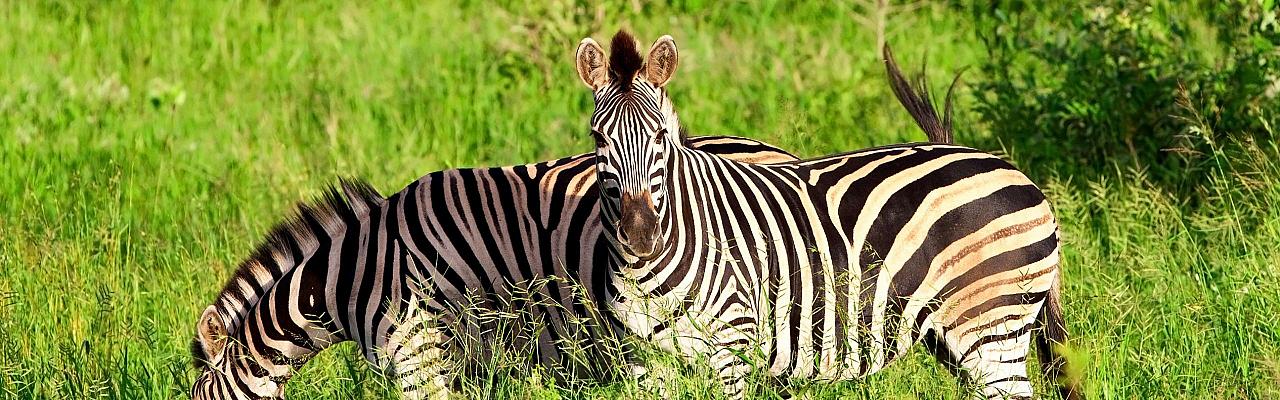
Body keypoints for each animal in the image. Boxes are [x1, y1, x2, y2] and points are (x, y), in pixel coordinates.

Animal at [570, 31, 1080, 400]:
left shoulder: (731, 351)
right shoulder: (644, 362)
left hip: (994, 326)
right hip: (956, 338)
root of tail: (1013, 169)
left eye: (659, 136)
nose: (640, 235)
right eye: (598, 139)